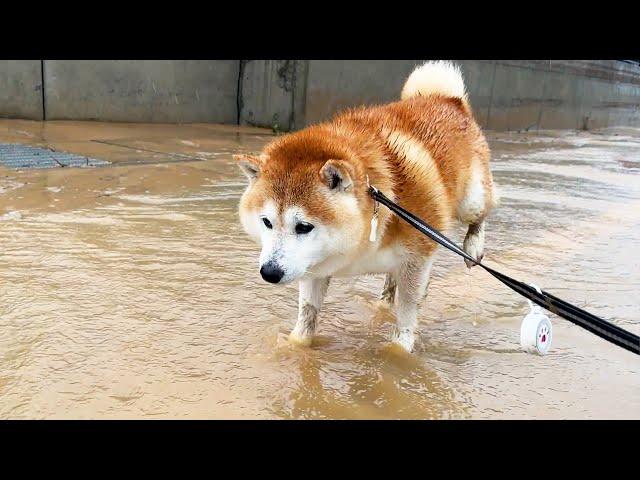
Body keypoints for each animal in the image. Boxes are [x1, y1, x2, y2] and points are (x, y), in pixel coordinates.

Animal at [232, 61, 498, 352]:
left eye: (303, 226)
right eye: (266, 222)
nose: (269, 272)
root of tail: (446, 98)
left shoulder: (417, 258)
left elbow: (407, 315)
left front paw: (399, 352)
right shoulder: (314, 266)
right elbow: (307, 314)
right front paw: (295, 346)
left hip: (469, 201)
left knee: (481, 213)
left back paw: (472, 246)